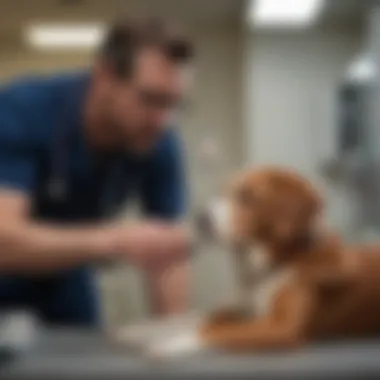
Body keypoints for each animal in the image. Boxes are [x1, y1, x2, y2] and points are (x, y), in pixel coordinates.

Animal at [147, 168, 380, 358]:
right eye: (223, 192)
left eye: (247, 196)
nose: (200, 218)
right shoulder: (243, 308)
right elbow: (212, 317)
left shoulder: (282, 328)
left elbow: (218, 331)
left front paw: (173, 343)